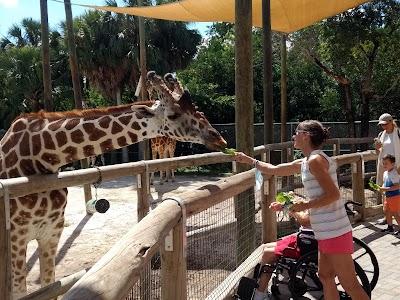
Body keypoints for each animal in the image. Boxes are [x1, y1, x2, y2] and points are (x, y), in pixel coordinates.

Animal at [0, 70, 225, 298]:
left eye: (197, 109)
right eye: (173, 115)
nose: (219, 139)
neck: (42, 155)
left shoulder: (52, 232)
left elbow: (49, 286)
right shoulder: (17, 237)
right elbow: (21, 291)